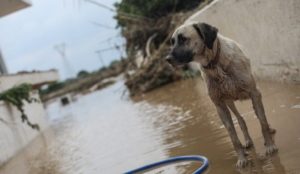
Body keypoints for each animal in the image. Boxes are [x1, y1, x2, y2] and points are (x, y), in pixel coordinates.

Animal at [166, 22, 276, 168]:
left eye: (183, 39)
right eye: (172, 42)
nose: (167, 59)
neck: (215, 64)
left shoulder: (254, 94)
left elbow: (262, 122)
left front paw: (270, 146)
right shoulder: (220, 106)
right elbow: (233, 137)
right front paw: (242, 158)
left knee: (260, 117)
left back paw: (269, 132)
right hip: (229, 102)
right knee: (240, 119)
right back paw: (247, 141)